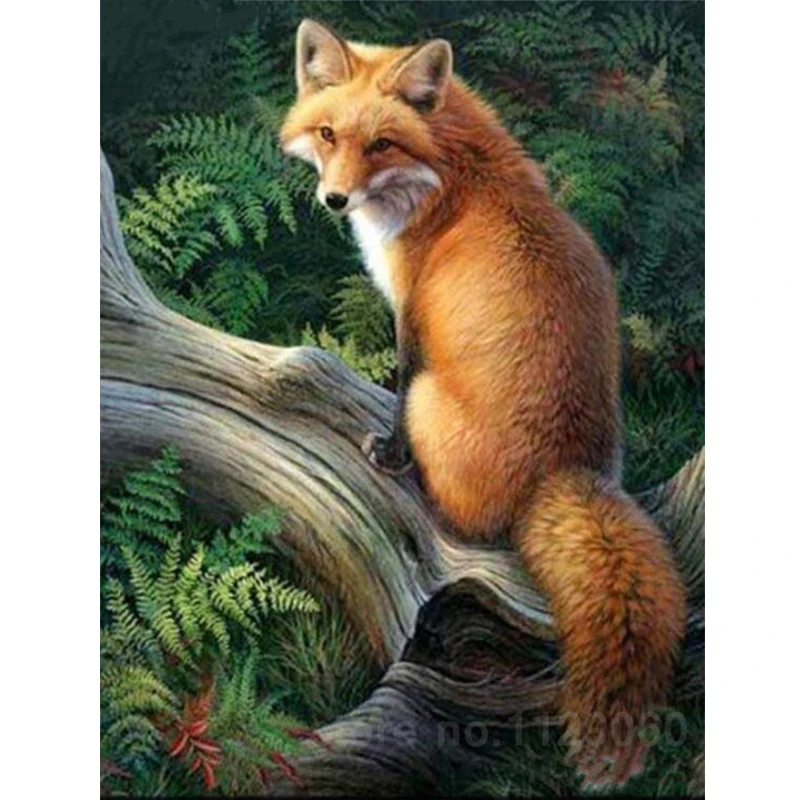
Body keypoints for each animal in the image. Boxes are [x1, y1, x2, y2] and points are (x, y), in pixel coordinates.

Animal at [280, 19, 686, 788]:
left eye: (381, 143)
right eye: (327, 133)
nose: (335, 200)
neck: (453, 173)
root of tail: (563, 471)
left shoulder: (411, 314)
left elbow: (397, 383)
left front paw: (388, 453)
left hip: (434, 402)